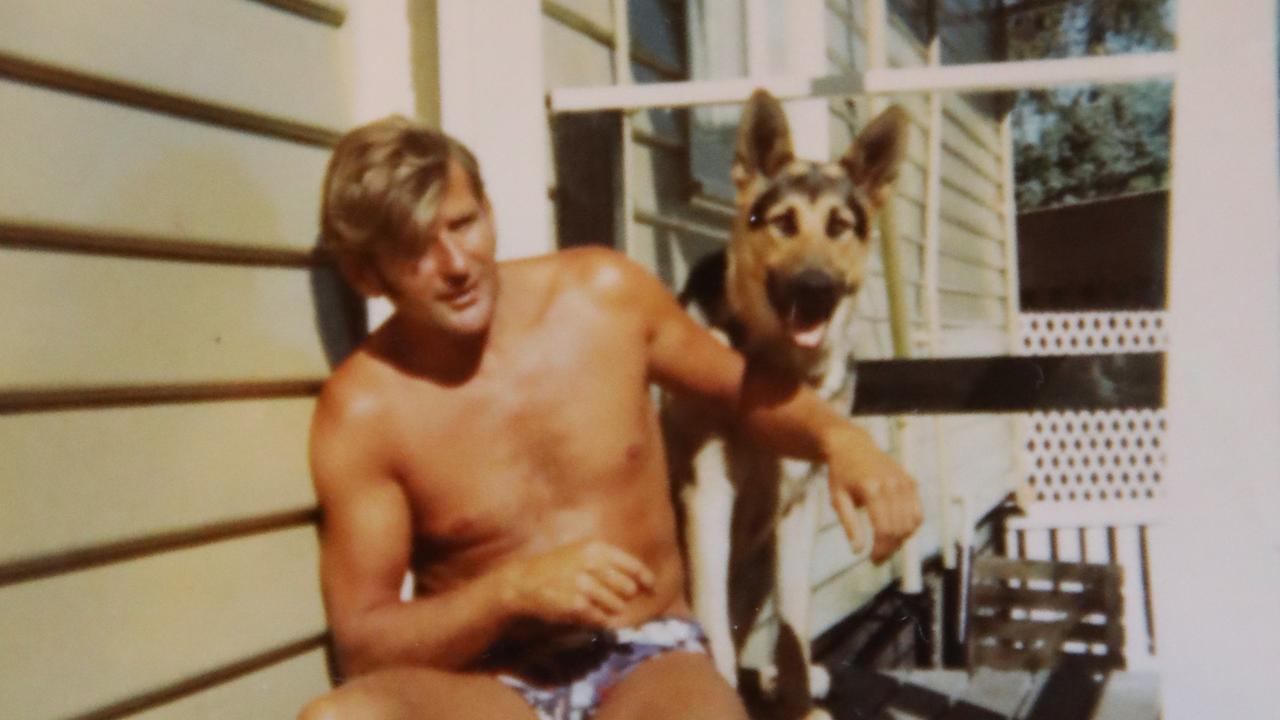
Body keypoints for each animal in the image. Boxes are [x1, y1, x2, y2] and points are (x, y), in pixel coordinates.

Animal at [665, 90, 906, 717]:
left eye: (840, 228)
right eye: (782, 224)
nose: (816, 288)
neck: (777, 371)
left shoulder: (800, 503)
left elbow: (795, 624)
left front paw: (798, 699)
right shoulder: (708, 491)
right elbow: (714, 633)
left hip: (753, 571)